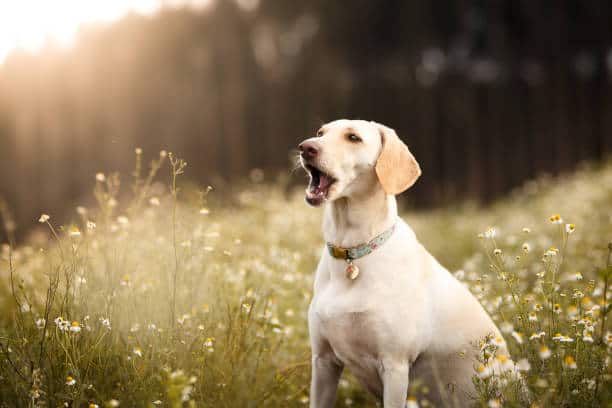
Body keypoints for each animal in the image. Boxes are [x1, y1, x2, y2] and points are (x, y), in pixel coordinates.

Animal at [298, 119, 504, 406]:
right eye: (320, 133)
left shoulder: (394, 366)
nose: (305, 147)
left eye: (353, 137)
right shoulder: (323, 362)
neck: (353, 251)